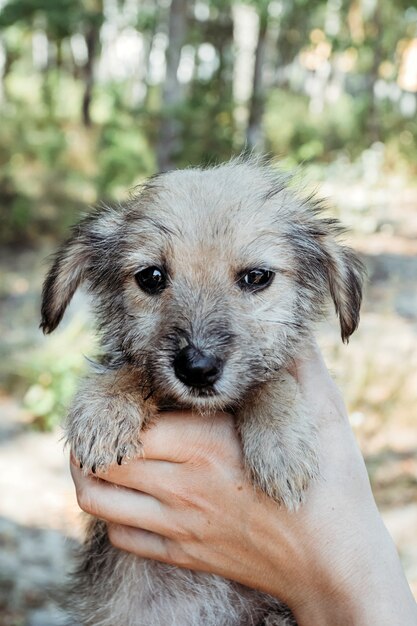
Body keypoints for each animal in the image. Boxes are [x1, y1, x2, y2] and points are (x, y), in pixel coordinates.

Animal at [40, 157, 362, 626]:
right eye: (152, 277)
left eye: (257, 277)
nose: (197, 368)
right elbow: (132, 370)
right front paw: (105, 409)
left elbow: (272, 378)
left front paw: (281, 443)